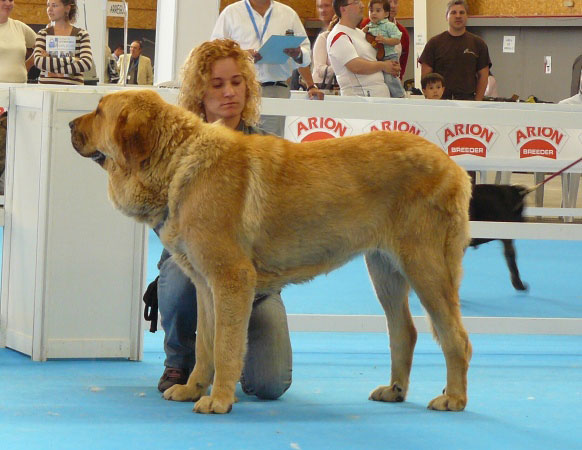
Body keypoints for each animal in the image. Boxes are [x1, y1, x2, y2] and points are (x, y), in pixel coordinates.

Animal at [70, 90, 474, 414]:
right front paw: (192, 389)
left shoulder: (232, 279)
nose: (71, 123)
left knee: (457, 338)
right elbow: (206, 345)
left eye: (100, 111)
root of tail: (454, 166)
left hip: (426, 268)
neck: (177, 161)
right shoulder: (205, 286)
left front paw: (219, 400)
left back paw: (454, 398)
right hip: (385, 272)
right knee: (404, 331)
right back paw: (395, 390)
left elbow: (227, 346)